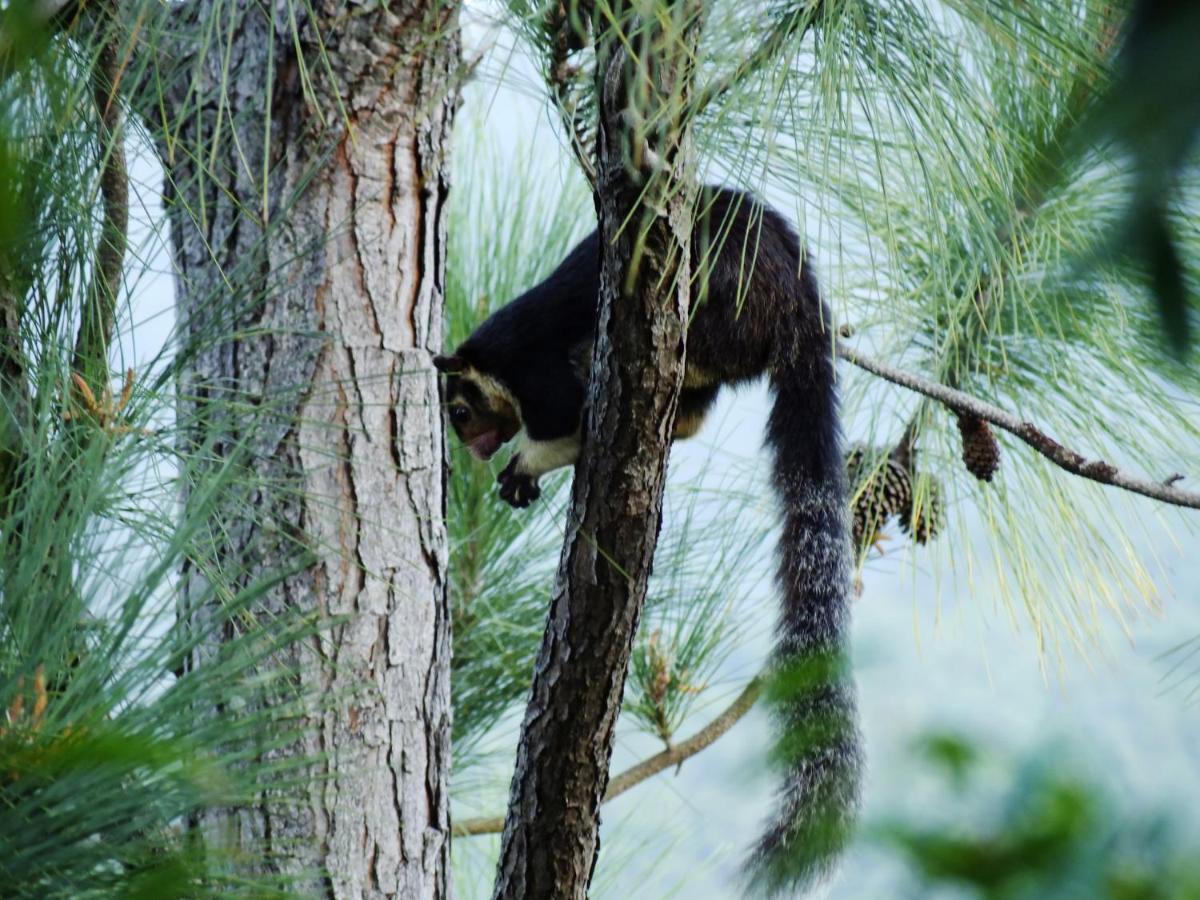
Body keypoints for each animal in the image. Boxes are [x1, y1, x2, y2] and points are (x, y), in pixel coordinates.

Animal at [436, 187, 859, 892]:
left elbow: (565, 417)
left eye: (461, 412)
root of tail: (802, 309)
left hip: (717, 304)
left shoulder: (538, 373)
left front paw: (522, 467)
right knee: (690, 416)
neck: (498, 360)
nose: (474, 451)